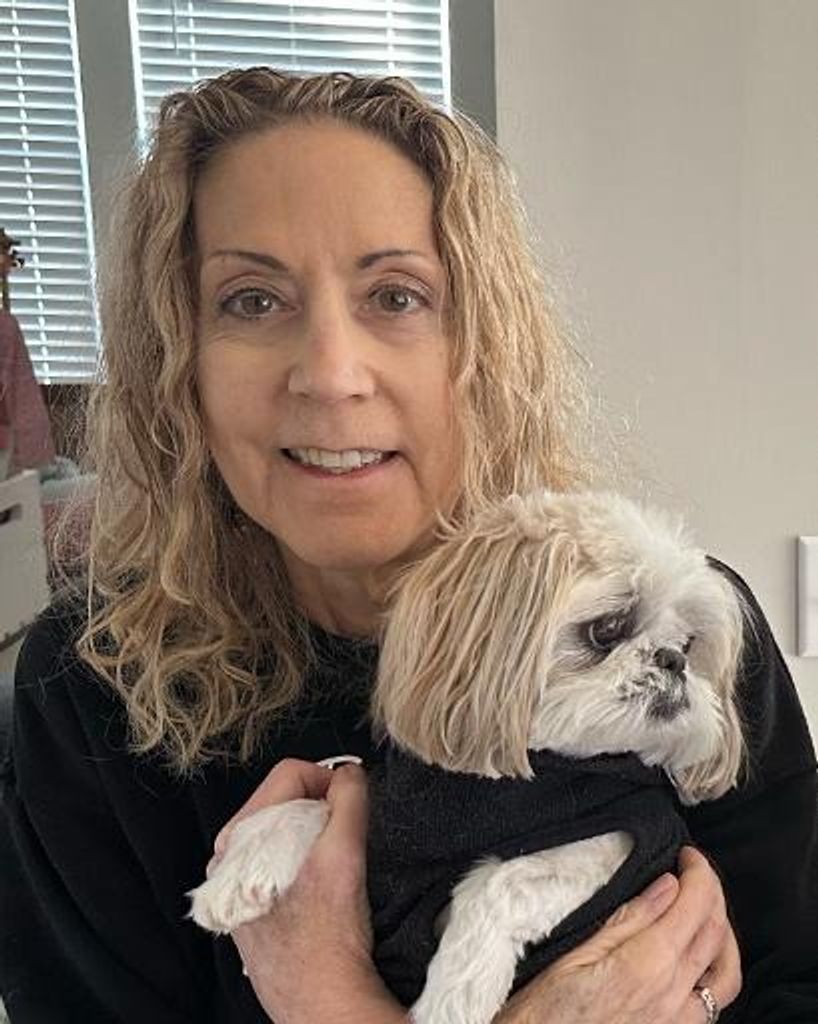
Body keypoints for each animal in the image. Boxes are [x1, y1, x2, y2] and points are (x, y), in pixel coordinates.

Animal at [190, 490, 747, 1023]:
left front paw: (453, 997)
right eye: (607, 628)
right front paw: (239, 873)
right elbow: (312, 805)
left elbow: (501, 880)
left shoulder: (620, 838)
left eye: (689, 644)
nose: (673, 661)